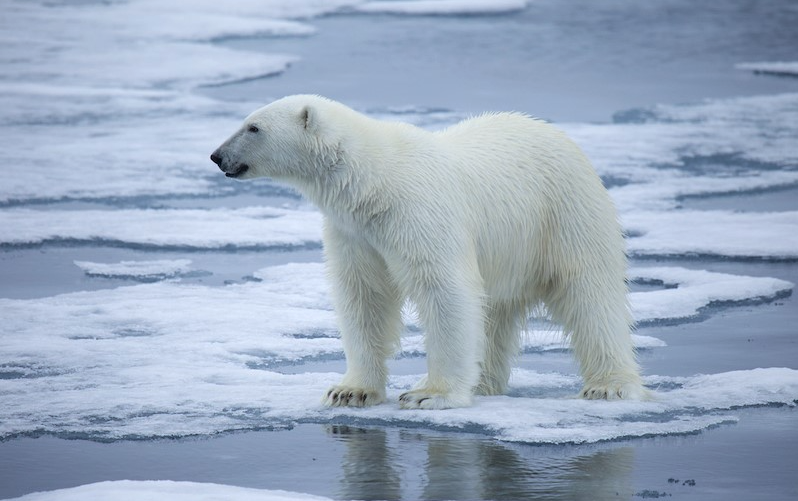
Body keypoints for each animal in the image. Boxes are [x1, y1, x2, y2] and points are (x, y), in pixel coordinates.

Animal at [211, 95, 646, 409]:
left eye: (253, 126)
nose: (217, 156)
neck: (374, 182)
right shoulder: (354, 232)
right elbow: (364, 297)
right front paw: (350, 391)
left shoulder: (419, 212)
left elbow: (444, 290)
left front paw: (429, 394)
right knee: (494, 312)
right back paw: (484, 382)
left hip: (563, 214)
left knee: (590, 294)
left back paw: (608, 386)